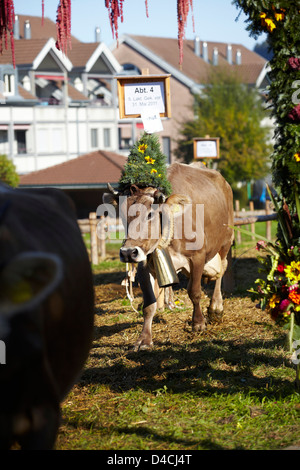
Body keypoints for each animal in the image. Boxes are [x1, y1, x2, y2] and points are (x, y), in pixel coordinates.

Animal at [104, 162, 233, 348]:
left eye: (150, 213)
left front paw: (198, 323)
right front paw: (144, 339)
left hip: (226, 241)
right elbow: (149, 303)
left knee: (221, 271)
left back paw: (216, 307)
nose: (128, 252)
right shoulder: (144, 263)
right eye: (121, 213)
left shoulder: (198, 256)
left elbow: (194, 292)